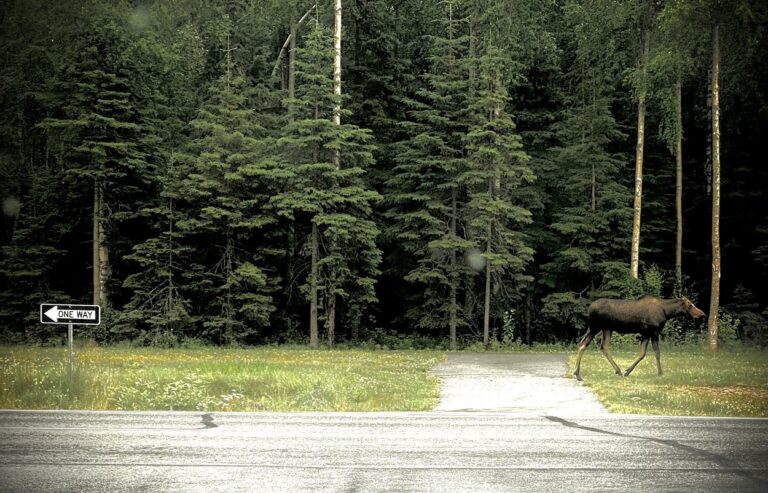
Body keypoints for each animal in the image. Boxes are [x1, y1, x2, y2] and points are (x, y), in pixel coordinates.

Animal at [573, 296, 706, 381]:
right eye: (690, 305)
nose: (702, 314)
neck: (667, 312)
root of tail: (589, 308)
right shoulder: (653, 332)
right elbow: (657, 352)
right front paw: (660, 372)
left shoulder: (646, 333)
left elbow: (642, 353)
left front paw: (627, 371)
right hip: (595, 327)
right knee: (583, 344)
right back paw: (578, 374)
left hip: (606, 329)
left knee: (601, 346)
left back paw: (616, 371)